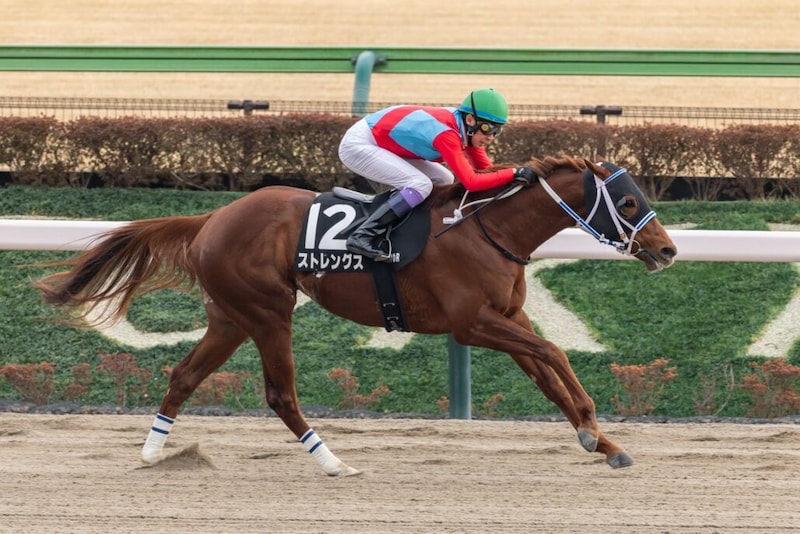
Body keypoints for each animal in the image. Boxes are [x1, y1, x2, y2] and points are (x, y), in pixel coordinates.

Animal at [33, 156, 677, 476]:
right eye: (627, 201)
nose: (668, 250)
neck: (487, 230)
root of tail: (211, 217)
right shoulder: (470, 324)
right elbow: (554, 352)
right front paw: (593, 430)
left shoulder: (507, 317)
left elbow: (546, 370)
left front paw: (602, 439)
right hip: (268, 313)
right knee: (280, 394)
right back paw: (332, 461)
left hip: (230, 317)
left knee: (184, 375)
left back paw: (151, 454)